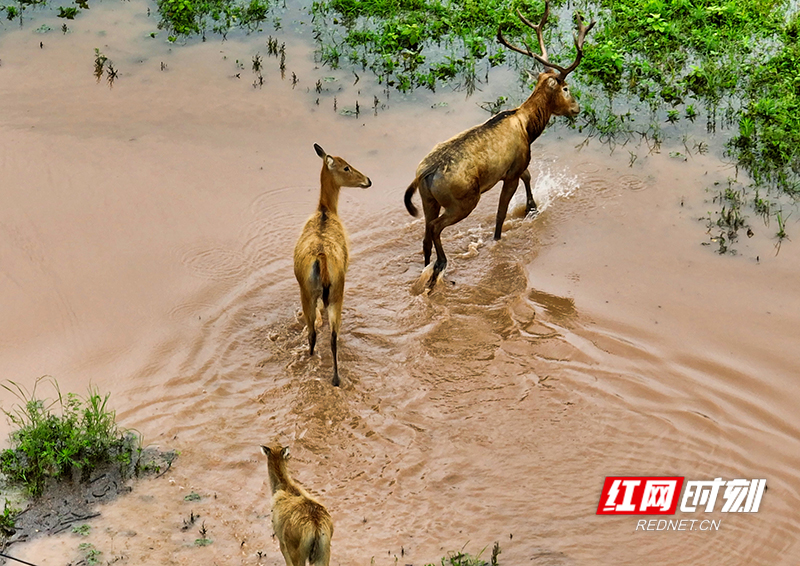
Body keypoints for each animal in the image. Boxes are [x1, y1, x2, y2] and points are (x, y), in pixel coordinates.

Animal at [294, 144, 372, 388]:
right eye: (346, 167)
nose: (367, 180)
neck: (325, 211)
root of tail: (322, 259)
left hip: (311, 294)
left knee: (317, 334)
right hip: (334, 294)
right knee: (331, 336)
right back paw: (334, 378)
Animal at [406, 1, 592, 288]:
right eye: (566, 89)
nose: (577, 108)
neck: (529, 127)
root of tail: (424, 173)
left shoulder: (518, 165)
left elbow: (529, 176)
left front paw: (531, 207)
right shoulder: (512, 171)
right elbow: (501, 214)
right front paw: (500, 238)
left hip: (428, 199)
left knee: (426, 233)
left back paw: (427, 265)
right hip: (463, 200)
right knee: (436, 227)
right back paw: (441, 264)